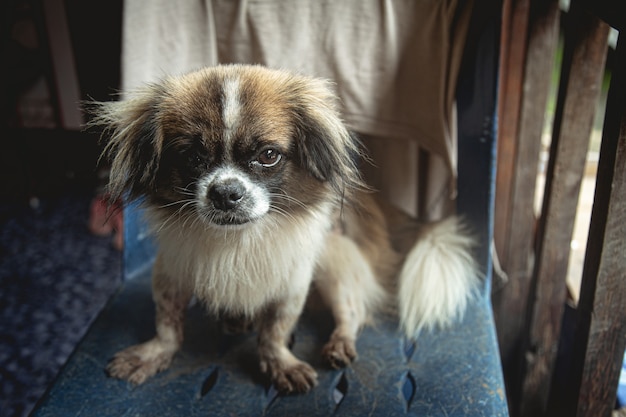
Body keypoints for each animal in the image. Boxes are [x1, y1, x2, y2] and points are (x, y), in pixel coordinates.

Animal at [90, 63, 478, 392]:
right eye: (193, 156)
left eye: (268, 155)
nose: (226, 192)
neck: (238, 239)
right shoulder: (170, 273)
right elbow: (168, 324)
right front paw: (153, 354)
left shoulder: (291, 280)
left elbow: (275, 331)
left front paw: (279, 364)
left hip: (335, 257)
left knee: (352, 311)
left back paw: (339, 343)